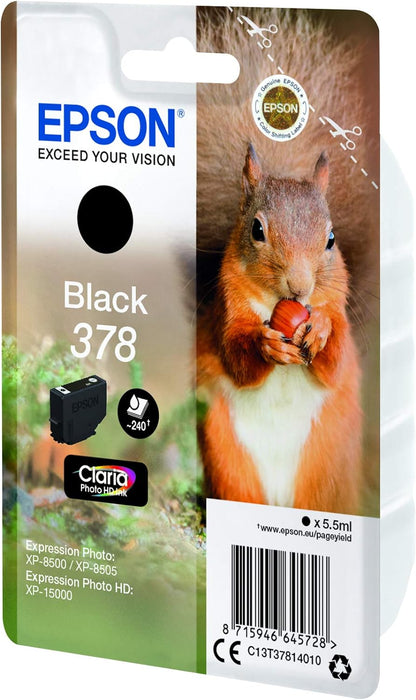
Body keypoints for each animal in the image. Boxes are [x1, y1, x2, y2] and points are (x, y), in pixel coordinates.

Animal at [195, 8, 379, 514]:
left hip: (326, 466)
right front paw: (265, 345)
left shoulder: (337, 306)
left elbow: (335, 360)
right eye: (257, 230)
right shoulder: (227, 309)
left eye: (331, 239)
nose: (299, 288)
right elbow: (236, 357)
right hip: (227, 456)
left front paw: (319, 330)